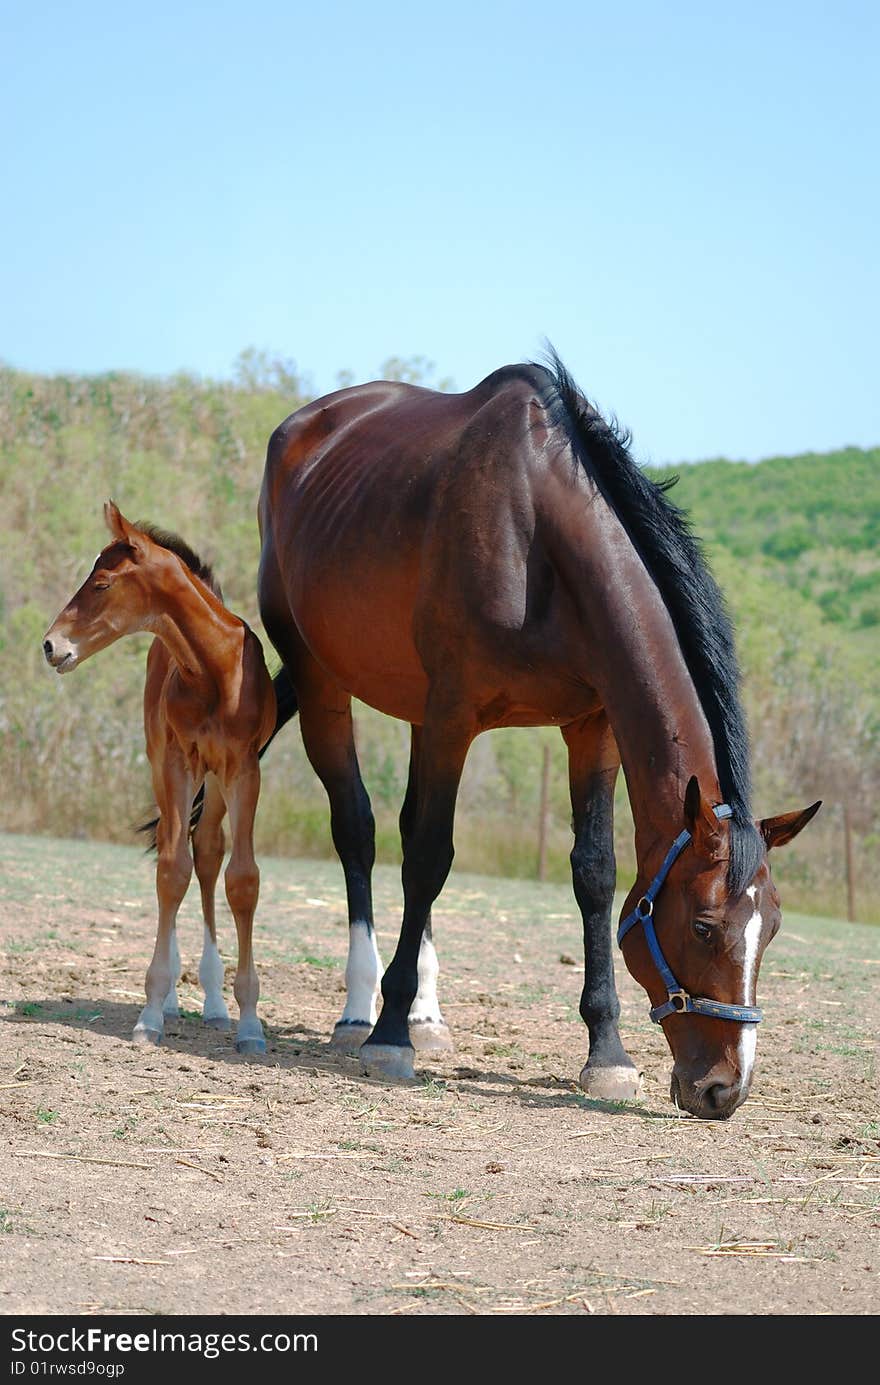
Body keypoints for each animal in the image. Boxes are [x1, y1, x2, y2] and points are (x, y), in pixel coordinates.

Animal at [41, 504, 274, 1052]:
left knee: (208, 851)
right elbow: (170, 872)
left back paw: (215, 1004)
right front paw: (151, 1011)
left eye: (101, 583)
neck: (214, 670)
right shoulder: (176, 762)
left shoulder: (243, 767)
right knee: (181, 849)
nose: (50, 645)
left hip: (216, 783)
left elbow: (242, 879)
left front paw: (250, 1025)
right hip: (165, 769)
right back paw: (175, 998)